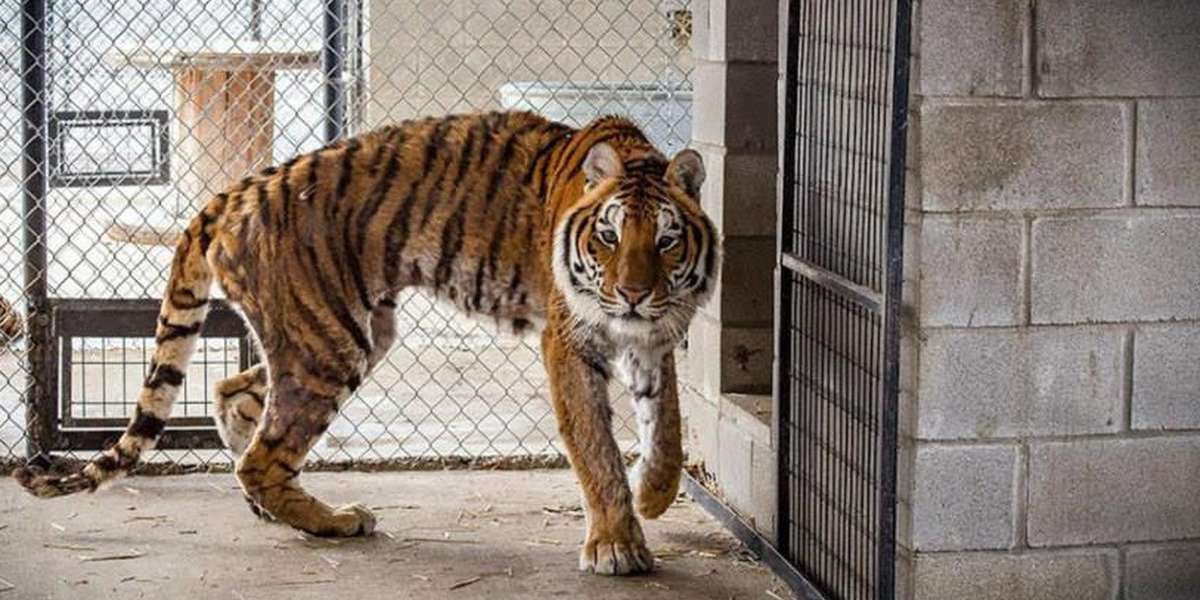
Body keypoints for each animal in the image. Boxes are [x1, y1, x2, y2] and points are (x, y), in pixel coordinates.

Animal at [14, 110, 719, 576]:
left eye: (666, 239)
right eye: (608, 236)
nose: (632, 293)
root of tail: (232, 191)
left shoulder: (656, 335)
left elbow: (668, 425)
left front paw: (654, 493)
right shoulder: (569, 342)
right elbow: (595, 445)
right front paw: (618, 544)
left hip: (338, 335)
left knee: (234, 392)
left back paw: (275, 508)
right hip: (331, 343)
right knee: (261, 453)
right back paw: (334, 520)